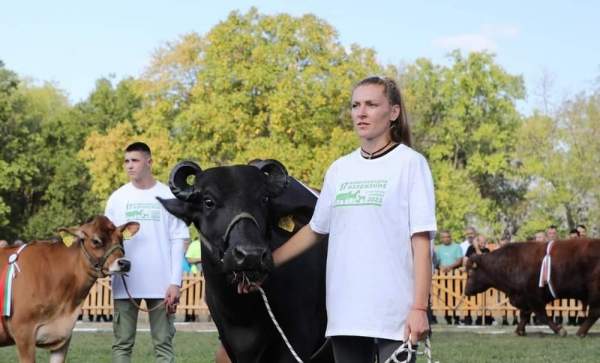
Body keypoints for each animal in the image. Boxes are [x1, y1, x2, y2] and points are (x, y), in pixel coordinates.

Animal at [464, 242, 600, 338]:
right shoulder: (524, 298)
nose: (465, 291)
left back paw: (580, 332)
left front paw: (560, 330)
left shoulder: (534, 298)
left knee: (593, 313)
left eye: (470, 273)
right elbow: (524, 315)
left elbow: (542, 316)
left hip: (594, 293)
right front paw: (519, 331)